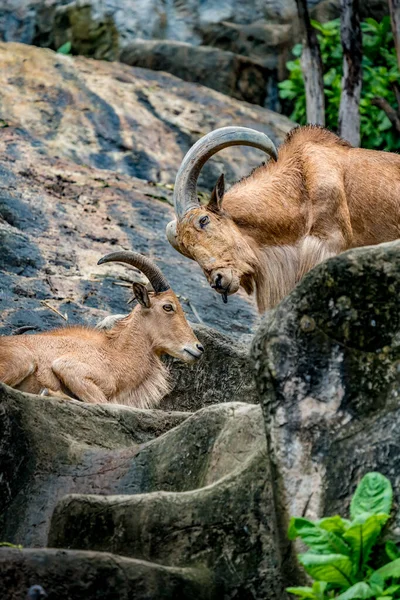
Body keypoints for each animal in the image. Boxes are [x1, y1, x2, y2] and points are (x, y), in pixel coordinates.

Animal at [0, 251, 205, 410]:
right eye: (168, 307)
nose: (199, 348)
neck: (116, 354)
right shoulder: (69, 368)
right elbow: (103, 402)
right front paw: (50, 393)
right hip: (23, 360)